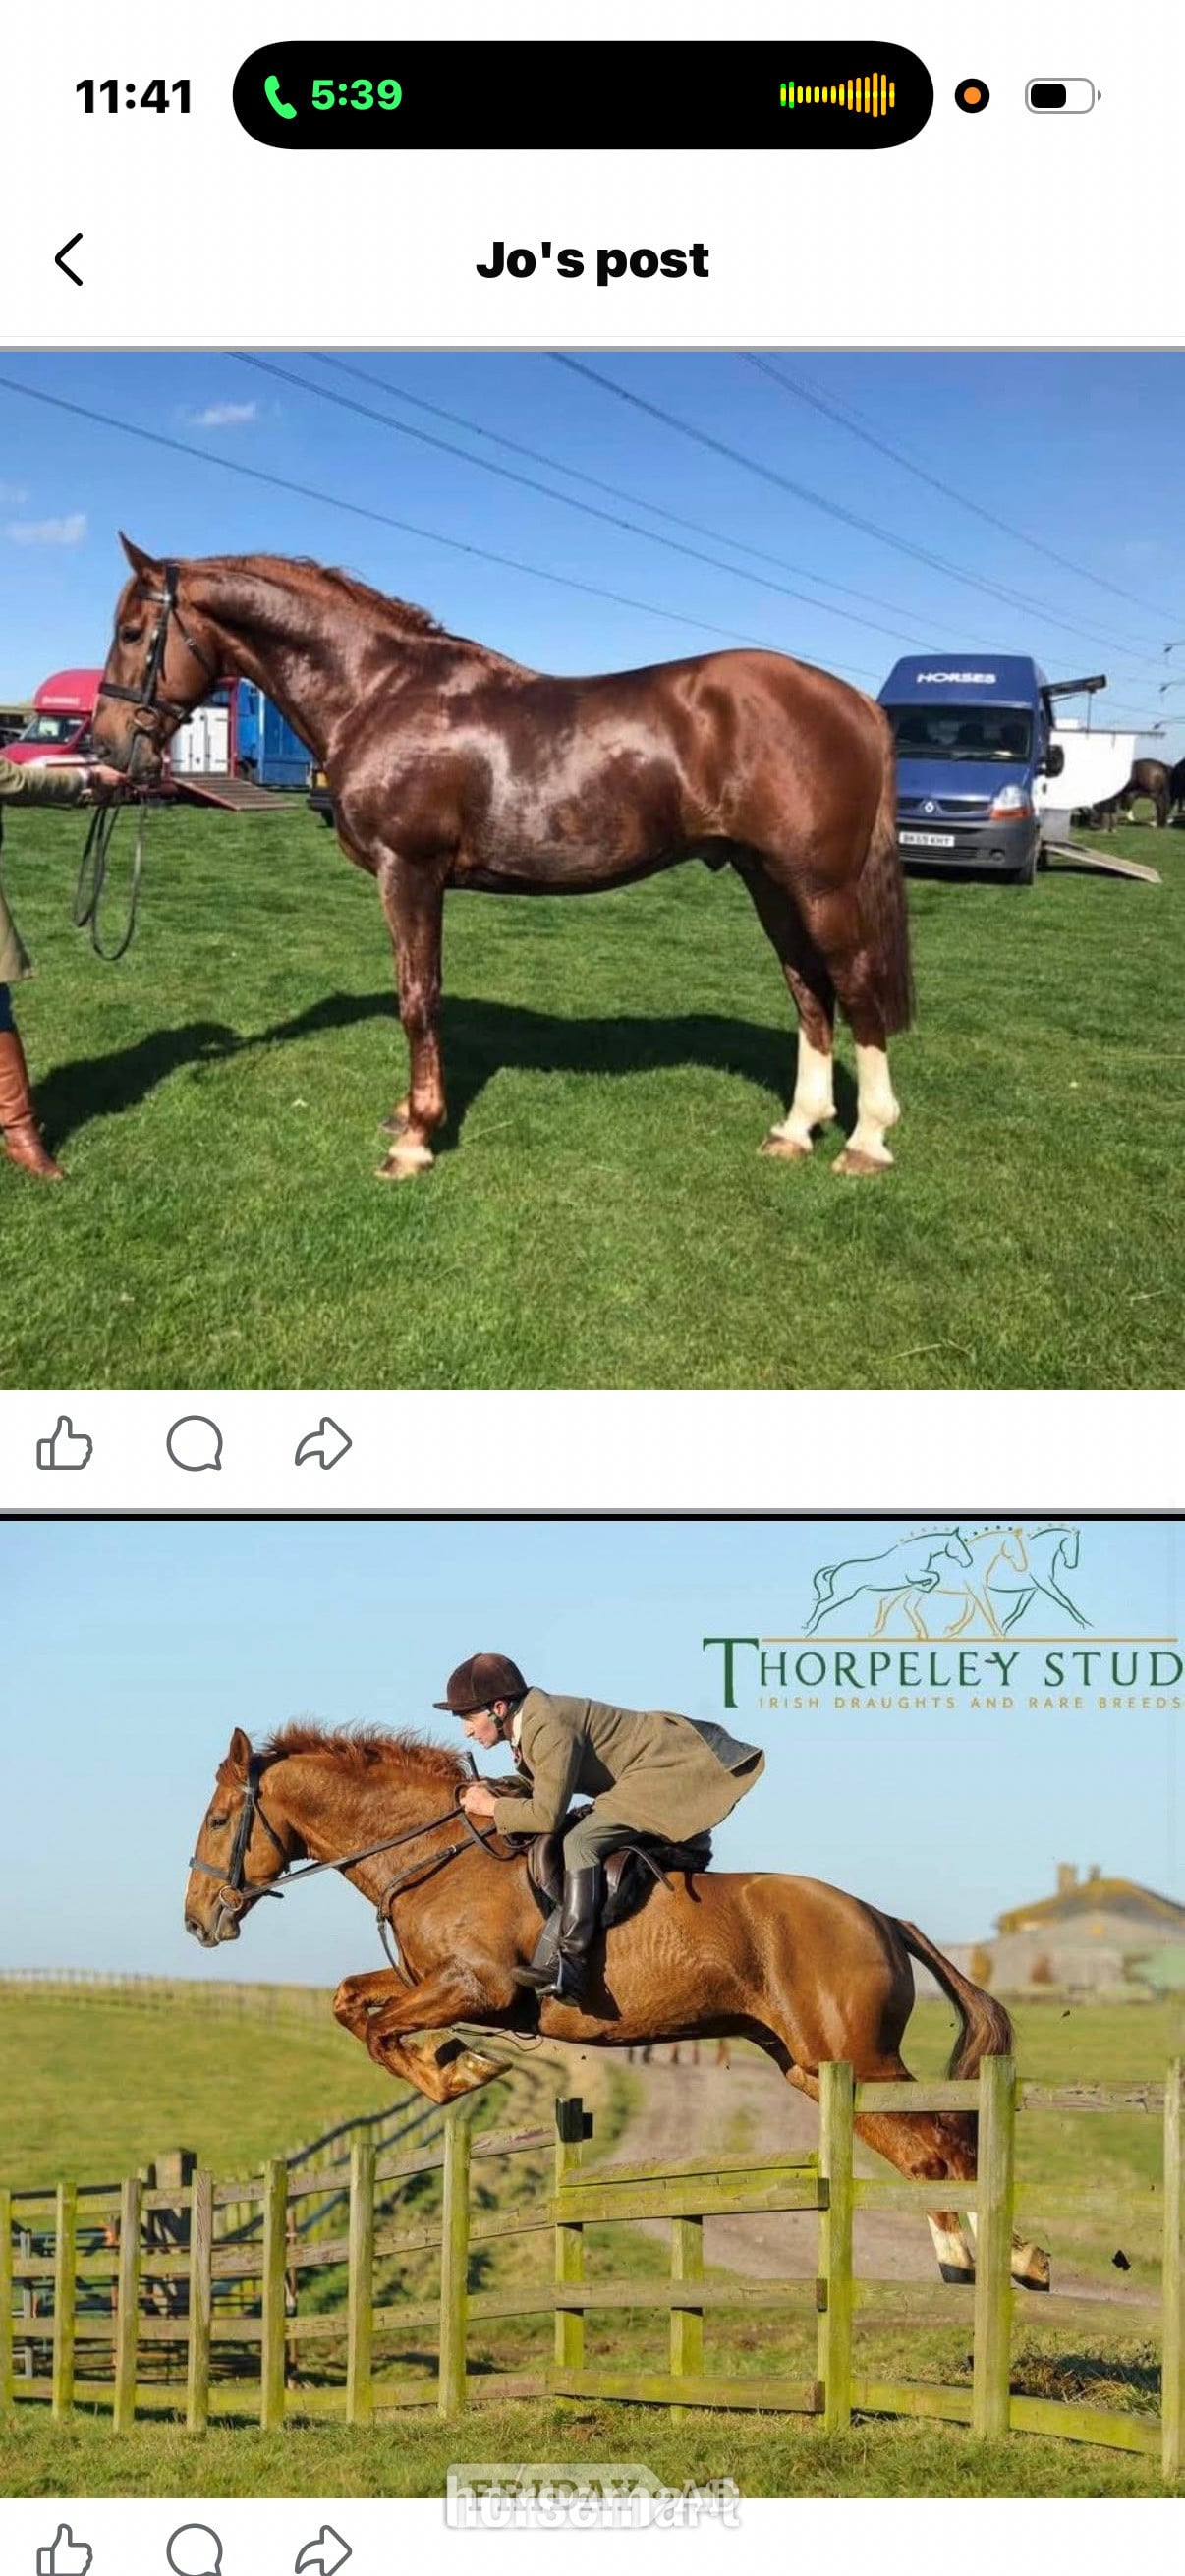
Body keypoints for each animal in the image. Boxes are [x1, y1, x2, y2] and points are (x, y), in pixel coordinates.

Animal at [92, 539, 912, 1181]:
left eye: (132, 631)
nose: (105, 744)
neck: (382, 692)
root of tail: (855, 703)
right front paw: (407, 1117)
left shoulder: (410, 872)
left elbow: (417, 997)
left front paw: (416, 1139)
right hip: (768, 881)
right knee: (809, 991)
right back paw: (796, 1129)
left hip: (820, 886)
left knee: (855, 986)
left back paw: (866, 1140)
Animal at [183, 1722, 1049, 2292]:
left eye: (222, 1819)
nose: (199, 1922)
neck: (435, 1855)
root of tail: (879, 1915)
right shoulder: (441, 1983)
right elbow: (352, 2005)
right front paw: (453, 2061)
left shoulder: (483, 1989)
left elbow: (379, 2027)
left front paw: (459, 2071)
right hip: (811, 2067)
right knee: (928, 2149)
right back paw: (976, 2258)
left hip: (856, 2057)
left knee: (946, 2144)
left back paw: (1002, 2257)